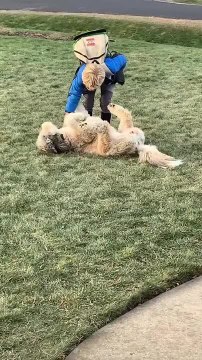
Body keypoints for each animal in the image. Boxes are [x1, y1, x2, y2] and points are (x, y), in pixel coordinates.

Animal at [36, 103, 183, 169]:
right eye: (48, 139)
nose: (58, 136)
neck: (66, 140)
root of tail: (138, 145)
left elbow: (65, 118)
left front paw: (81, 115)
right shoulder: (83, 136)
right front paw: (83, 120)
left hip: (125, 130)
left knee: (126, 118)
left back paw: (112, 107)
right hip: (108, 145)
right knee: (107, 129)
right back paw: (100, 123)